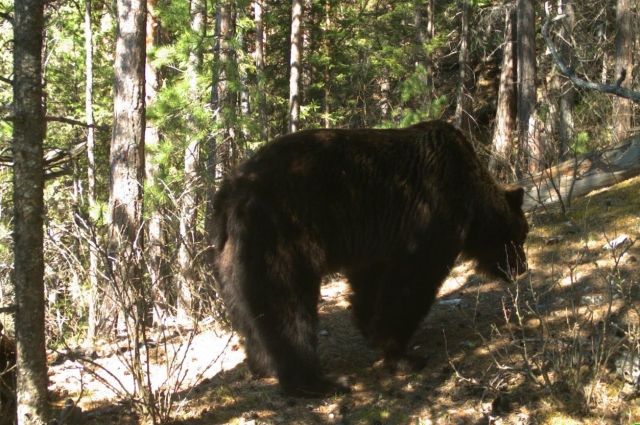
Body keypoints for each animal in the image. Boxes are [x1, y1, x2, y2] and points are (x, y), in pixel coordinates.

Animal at [212, 120, 528, 398]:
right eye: (520, 235)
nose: (522, 267)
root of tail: (230, 193)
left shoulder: (375, 242)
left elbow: (369, 283)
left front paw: (370, 328)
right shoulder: (431, 219)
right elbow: (411, 284)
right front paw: (402, 354)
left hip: (230, 255)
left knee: (245, 309)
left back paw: (264, 365)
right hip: (281, 235)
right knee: (287, 306)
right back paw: (318, 382)